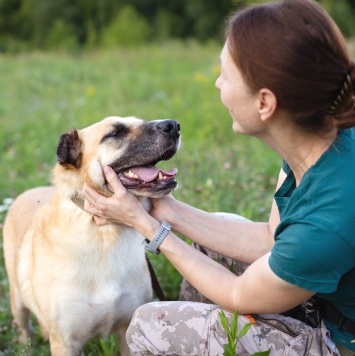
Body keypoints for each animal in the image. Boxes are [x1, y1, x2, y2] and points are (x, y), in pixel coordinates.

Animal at [2, 115, 181, 354]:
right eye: (115, 133)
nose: (174, 126)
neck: (103, 232)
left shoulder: (128, 332)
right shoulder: (65, 343)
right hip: (17, 302)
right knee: (24, 328)